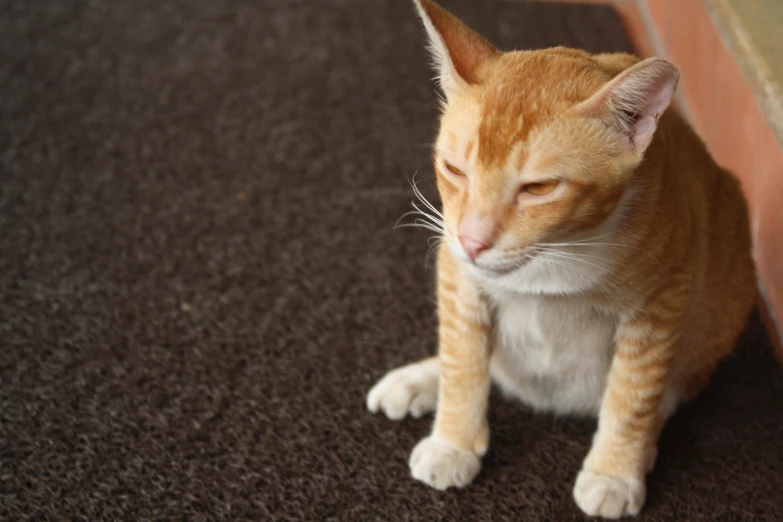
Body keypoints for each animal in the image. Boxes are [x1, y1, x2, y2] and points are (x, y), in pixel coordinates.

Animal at [370, 0, 760, 512]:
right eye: (455, 170)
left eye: (538, 188)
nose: (473, 240)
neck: (550, 260)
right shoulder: (458, 272)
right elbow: (463, 360)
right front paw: (454, 441)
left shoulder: (663, 301)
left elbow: (633, 395)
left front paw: (615, 471)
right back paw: (418, 379)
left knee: (667, 389)